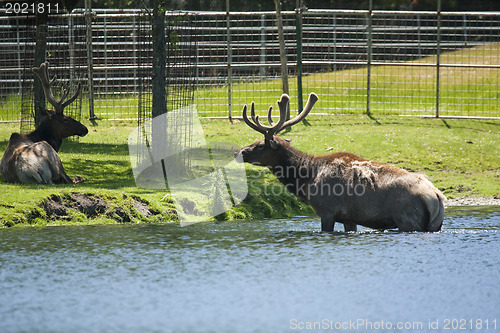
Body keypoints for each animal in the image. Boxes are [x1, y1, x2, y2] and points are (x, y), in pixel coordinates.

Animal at [234, 92, 446, 232]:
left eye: (260, 145)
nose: (240, 151)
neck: (306, 181)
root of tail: (436, 196)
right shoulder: (349, 217)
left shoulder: (327, 211)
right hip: (435, 225)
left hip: (407, 219)